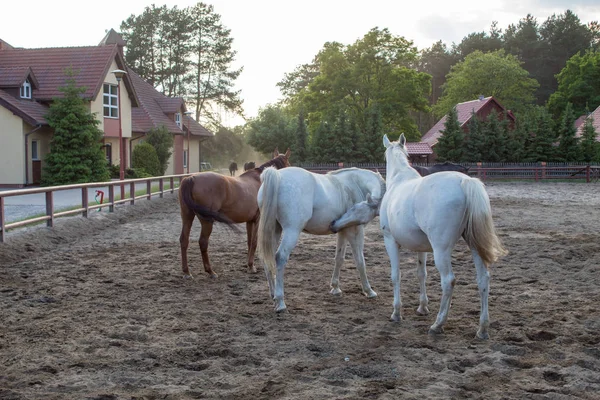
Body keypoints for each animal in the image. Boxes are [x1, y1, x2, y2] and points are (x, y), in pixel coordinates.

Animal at [178, 148, 290, 276]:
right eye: (288, 163)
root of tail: (191, 178)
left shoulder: (250, 221)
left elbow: (249, 242)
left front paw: (249, 265)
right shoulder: (258, 219)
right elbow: (254, 242)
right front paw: (251, 266)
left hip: (187, 216)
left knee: (184, 240)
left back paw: (186, 272)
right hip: (206, 221)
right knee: (203, 242)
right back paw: (210, 271)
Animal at [256, 166, 386, 312]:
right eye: (354, 209)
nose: (334, 224)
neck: (355, 182)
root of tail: (277, 175)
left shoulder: (343, 231)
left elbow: (339, 258)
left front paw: (335, 288)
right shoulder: (355, 232)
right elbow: (360, 261)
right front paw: (369, 291)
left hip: (274, 231)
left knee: (268, 259)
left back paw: (273, 295)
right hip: (292, 231)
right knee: (280, 257)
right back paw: (280, 302)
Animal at [332, 135, 506, 340]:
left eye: (355, 209)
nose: (334, 224)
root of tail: (465, 182)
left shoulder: (390, 241)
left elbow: (395, 275)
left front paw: (396, 312)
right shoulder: (422, 248)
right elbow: (421, 274)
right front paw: (423, 307)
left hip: (441, 250)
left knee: (448, 281)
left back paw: (438, 325)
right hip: (474, 245)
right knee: (483, 279)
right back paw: (482, 329)